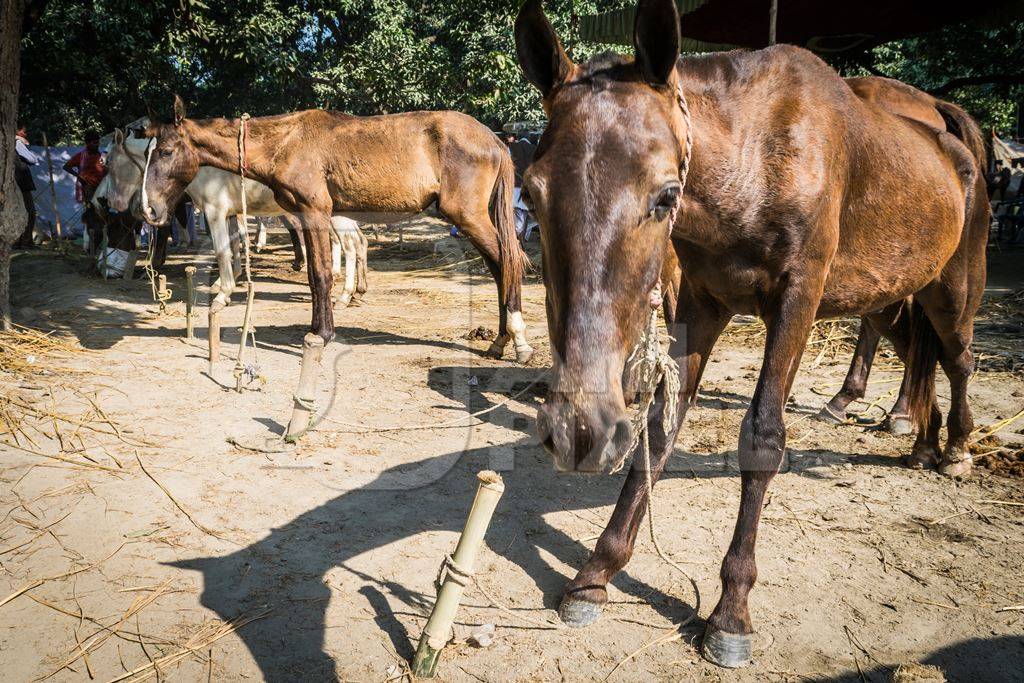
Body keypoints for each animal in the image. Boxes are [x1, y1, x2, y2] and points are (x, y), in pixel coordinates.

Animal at [98, 127, 368, 307]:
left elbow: (221, 251)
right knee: (358, 243)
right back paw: (357, 290)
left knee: (349, 246)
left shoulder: (215, 211)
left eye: (109, 162)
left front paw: (222, 294)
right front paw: (226, 283)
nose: (108, 202)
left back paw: (344, 295)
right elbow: (234, 246)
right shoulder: (230, 213)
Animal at [138, 100, 528, 440]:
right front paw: (317, 329)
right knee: (499, 267)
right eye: (146, 153)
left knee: (507, 263)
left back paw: (518, 340)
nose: (149, 210)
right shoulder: (306, 215)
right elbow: (315, 277)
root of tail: (493, 139)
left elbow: (322, 275)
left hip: (469, 216)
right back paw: (499, 340)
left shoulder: (314, 213)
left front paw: (322, 334)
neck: (286, 143)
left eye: (166, 151)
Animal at [516, 0, 987, 667]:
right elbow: (658, 431)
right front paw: (595, 574)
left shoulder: (796, 300)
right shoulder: (702, 307)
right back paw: (922, 440)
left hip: (952, 291)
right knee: (916, 354)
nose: (579, 431)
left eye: (666, 196)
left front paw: (730, 610)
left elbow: (762, 438)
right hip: (890, 294)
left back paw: (958, 449)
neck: (758, 154)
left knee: (958, 359)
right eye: (531, 193)